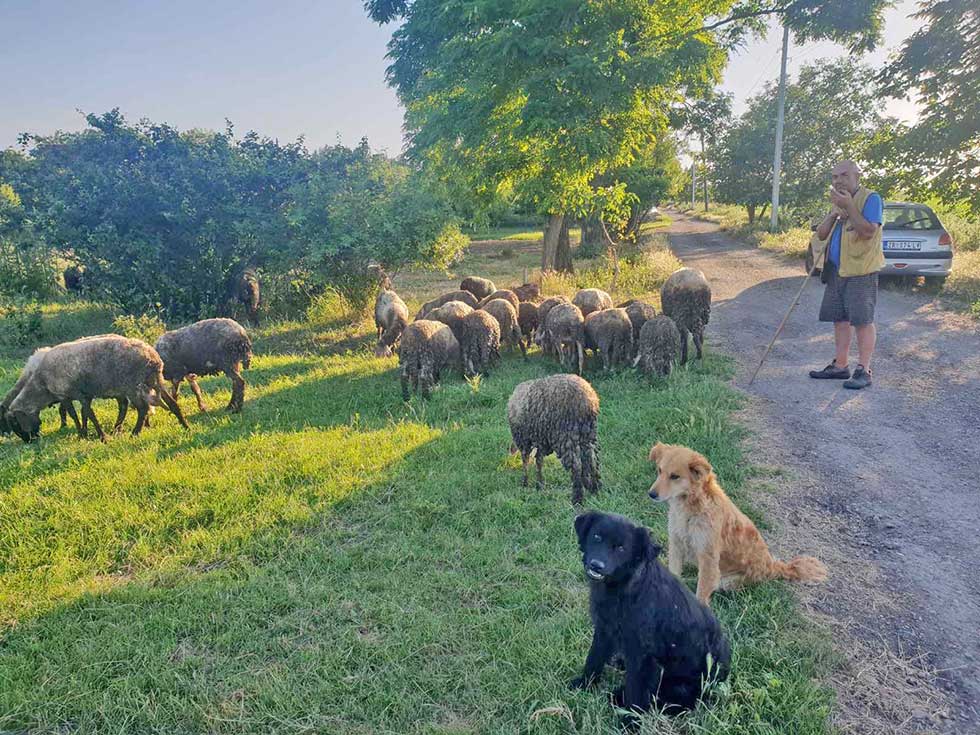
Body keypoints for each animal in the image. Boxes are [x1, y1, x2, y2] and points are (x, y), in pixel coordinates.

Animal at [2, 334, 188, 442]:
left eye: (16, 424)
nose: (29, 441)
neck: (41, 385)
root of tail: (153, 357)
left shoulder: (66, 395)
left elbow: (81, 414)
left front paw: (96, 436)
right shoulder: (82, 395)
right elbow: (85, 414)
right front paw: (86, 434)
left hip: (133, 385)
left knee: (142, 409)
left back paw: (134, 433)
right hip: (154, 381)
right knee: (172, 403)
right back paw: (185, 425)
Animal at [510, 374, 600, 506]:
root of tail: (588, 402)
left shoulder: (525, 440)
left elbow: (526, 460)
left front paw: (525, 483)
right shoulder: (542, 440)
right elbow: (539, 461)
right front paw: (539, 484)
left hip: (566, 434)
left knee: (576, 465)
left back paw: (577, 498)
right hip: (588, 434)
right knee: (592, 460)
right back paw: (594, 489)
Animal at [572, 512, 732, 724]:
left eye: (621, 548)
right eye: (597, 537)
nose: (596, 565)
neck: (625, 590)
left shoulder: (642, 655)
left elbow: (635, 691)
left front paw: (630, 723)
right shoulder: (604, 631)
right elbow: (593, 659)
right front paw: (584, 685)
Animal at [652, 442, 828, 604]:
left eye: (674, 476)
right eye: (659, 471)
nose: (651, 494)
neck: (691, 508)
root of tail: (773, 567)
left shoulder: (709, 558)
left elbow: (701, 594)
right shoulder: (676, 544)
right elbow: (675, 574)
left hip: (727, 581)